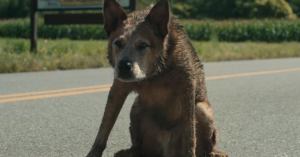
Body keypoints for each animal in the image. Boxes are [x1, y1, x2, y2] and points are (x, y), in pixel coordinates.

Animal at [86, 0, 227, 157]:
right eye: (118, 43)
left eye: (143, 45)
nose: (123, 66)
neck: (154, 74)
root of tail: (167, 150)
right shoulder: (118, 89)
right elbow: (104, 128)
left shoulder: (187, 89)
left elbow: (190, 135)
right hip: (137, 108)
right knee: (138, 144)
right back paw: (130, 152)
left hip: (202, 109)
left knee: (205, 144)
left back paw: (213, 153)